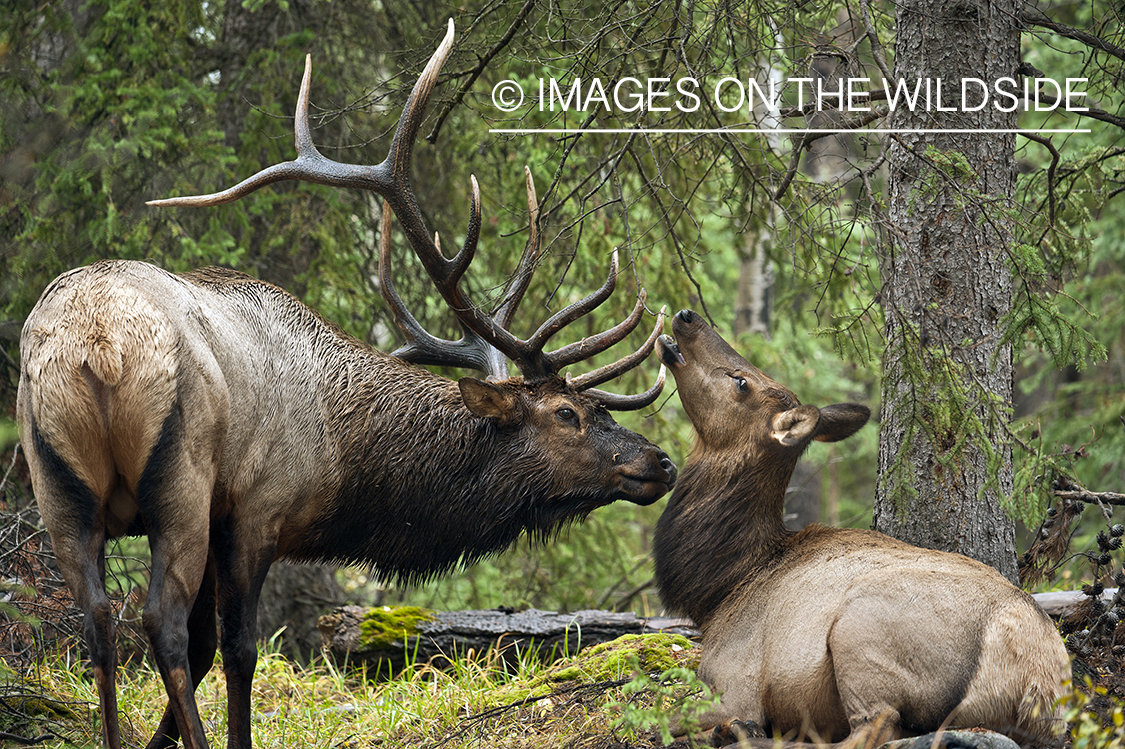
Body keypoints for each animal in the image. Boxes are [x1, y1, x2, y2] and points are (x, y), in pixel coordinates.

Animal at [15, 20, 675, 746]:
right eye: (566, 412)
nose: (660, 461)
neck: (341, 463)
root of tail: (97, 344)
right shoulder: (255, 510)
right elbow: (235, 646)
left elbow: (204, 646)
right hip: (179, 482)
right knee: (157, 619)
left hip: (56, 482)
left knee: (98, 619)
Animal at [652, 305, 1062, 742]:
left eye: (741, 382)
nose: (686, 315)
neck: (720, 588)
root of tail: (1039, 685)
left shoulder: (734, 682)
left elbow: (663, 718)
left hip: (860, 626)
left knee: (875, 724)